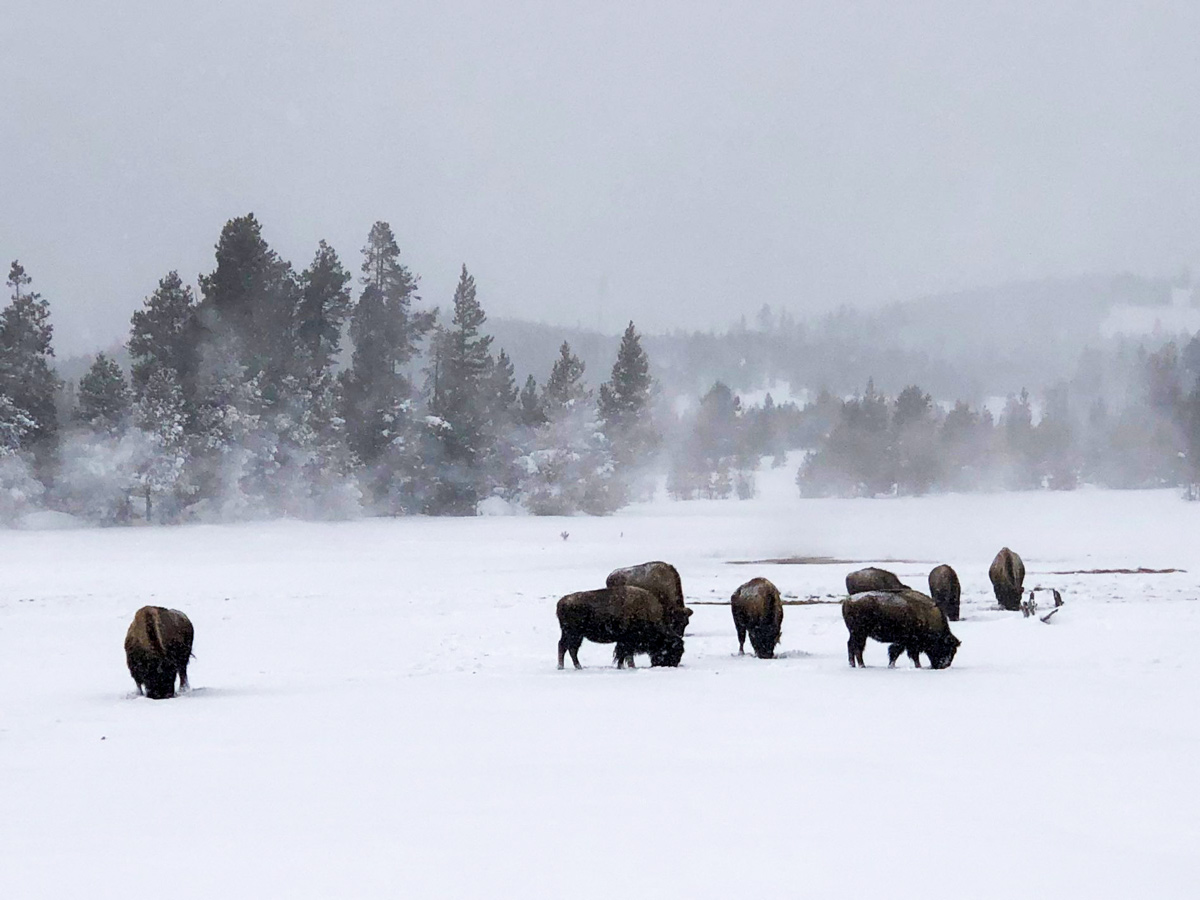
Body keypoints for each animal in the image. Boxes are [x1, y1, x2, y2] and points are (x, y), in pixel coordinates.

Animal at [554, 585, 686, 672]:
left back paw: (573, 667)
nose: (672, 665)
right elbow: (625, 654)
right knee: (566, 647)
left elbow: (623, 654)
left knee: (568, 648)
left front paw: (622, 666)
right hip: (573, 634)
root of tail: (561, 602)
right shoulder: (627, 641)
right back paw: (568, 667)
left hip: (575, 635)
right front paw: (628, 667)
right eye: (673, 649)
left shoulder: (625, 641)